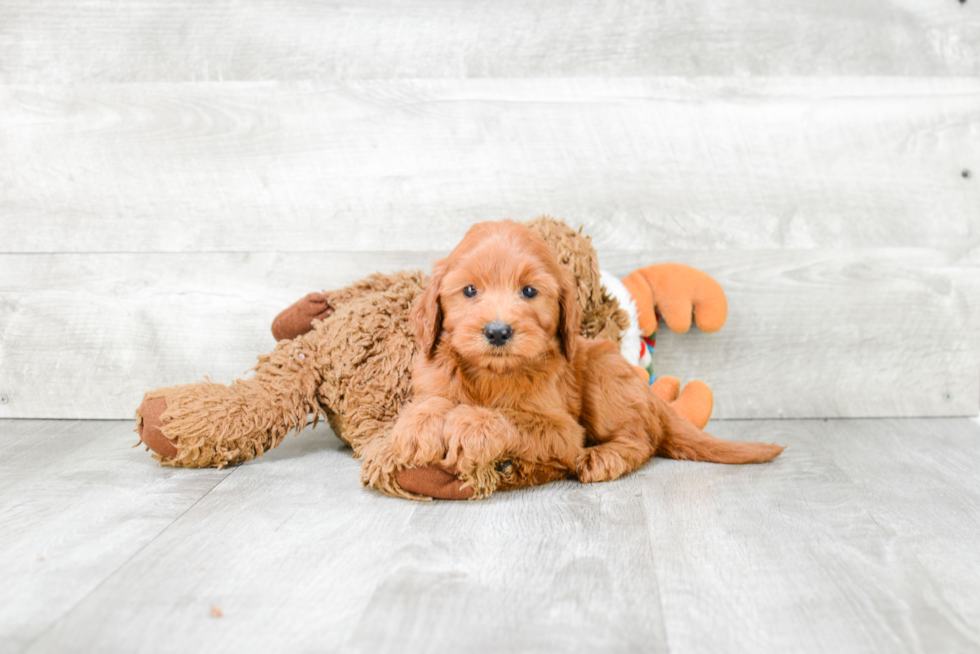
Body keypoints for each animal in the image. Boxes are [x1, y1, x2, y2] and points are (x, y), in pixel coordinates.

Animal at [388, 220, 780, 498]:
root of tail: (651, 396)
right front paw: (418, 425)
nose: (498, 332)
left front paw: (471, 423)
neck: (492, 373)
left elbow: (513, 415)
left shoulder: (562, 431)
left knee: (641, 439)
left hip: (602, 375)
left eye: (529, 291)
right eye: (469, 290)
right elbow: (433, 400)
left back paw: (603, 457)